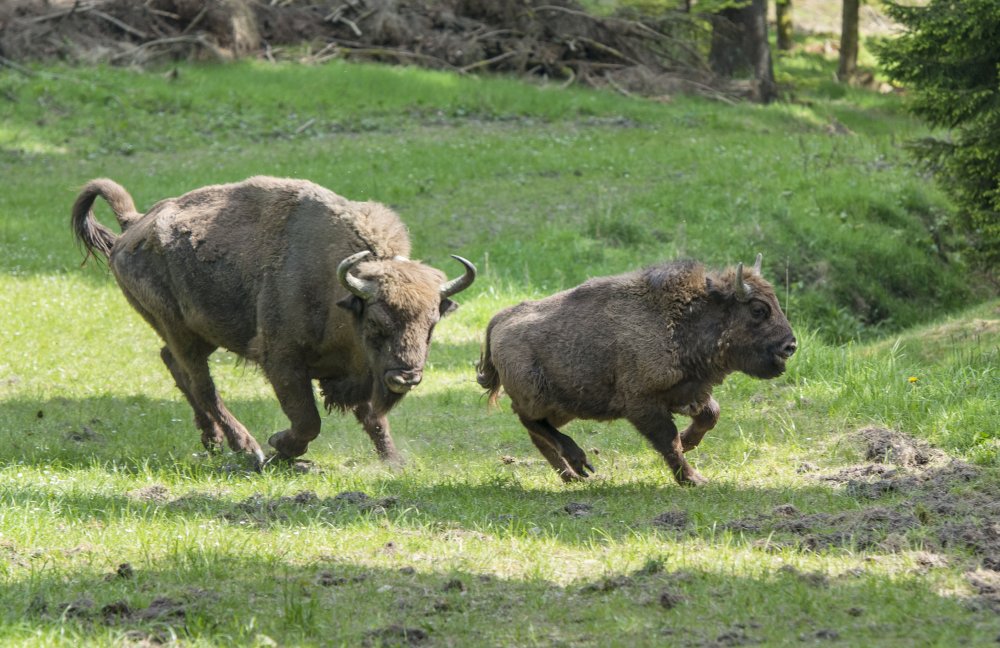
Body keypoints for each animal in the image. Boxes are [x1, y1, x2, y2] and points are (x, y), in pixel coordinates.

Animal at [71, 177, 476, 468]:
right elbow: (308, 419)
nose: (405, 376)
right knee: (202, 384)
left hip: (196, 333)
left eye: (431, 324)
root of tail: (132, 227)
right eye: (376, 322)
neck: (337, 291)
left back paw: (213, 441)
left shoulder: (356, 372)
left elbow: (373, 418)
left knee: (174, 365)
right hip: (179, 330)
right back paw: (247, 448)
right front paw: (280, 446)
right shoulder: (282, 361)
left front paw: (394, 460)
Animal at [476, 256, 796, 486]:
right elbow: (668, 441)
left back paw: (572, 476)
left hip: (565, 407)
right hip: (542, 399)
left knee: (537, 431)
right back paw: (579, 463)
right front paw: (695, 479)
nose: (790, 345)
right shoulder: (643, 404)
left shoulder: (689, 392)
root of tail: (499, 319)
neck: (684, 319)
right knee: (531, 422)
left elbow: (709, 416)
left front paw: (689, 443)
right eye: (758, 310)